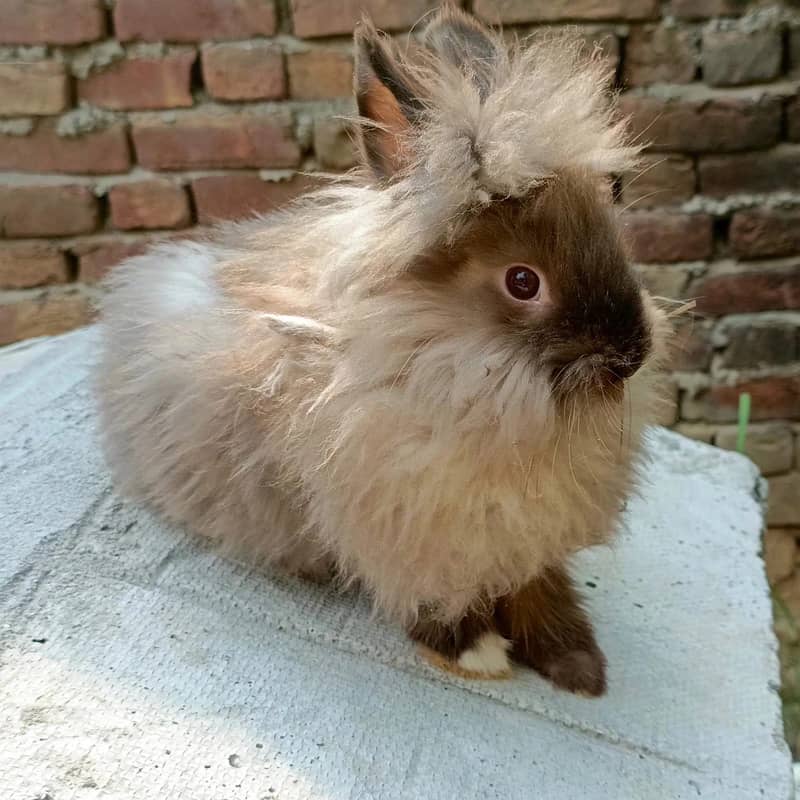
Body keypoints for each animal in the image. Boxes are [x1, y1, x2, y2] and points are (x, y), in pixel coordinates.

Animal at [96, 6, 672, 696]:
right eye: (522, 282)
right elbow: (433, 599)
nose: (631, 354)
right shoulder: (412, 538)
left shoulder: (526, 541)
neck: (456, 371)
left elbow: (538, 589)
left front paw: (580, 667)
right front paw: (478, 652)